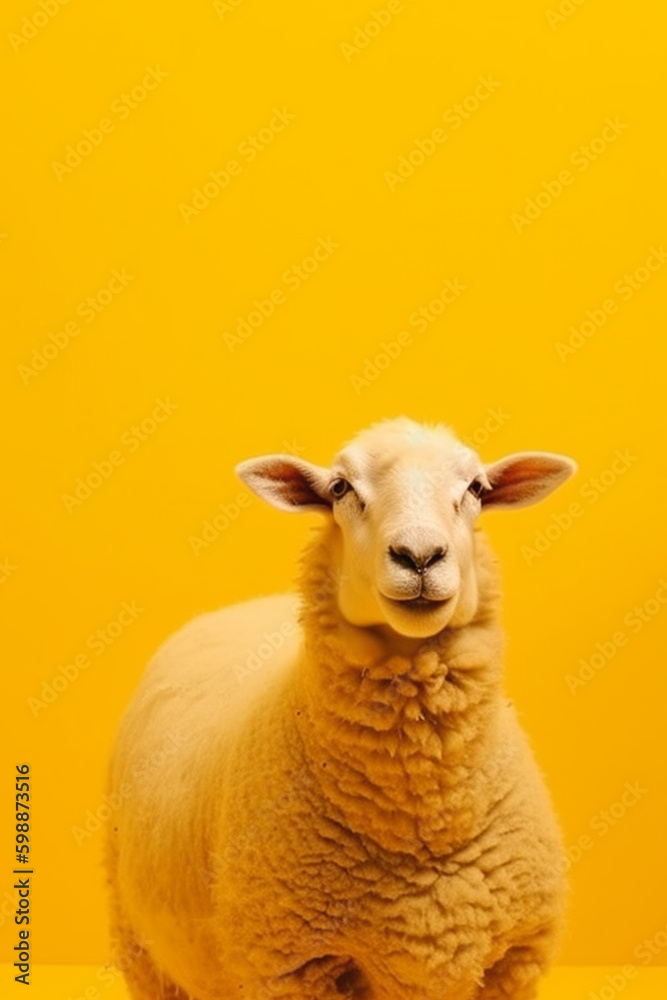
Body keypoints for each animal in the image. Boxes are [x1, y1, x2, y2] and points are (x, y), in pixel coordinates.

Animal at [106, 417, 576, 1000]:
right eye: (339, 489)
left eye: (475, 488)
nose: (419, 556)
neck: (421, 818)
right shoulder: (294, 966)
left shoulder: (513, 962)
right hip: (142, 948)